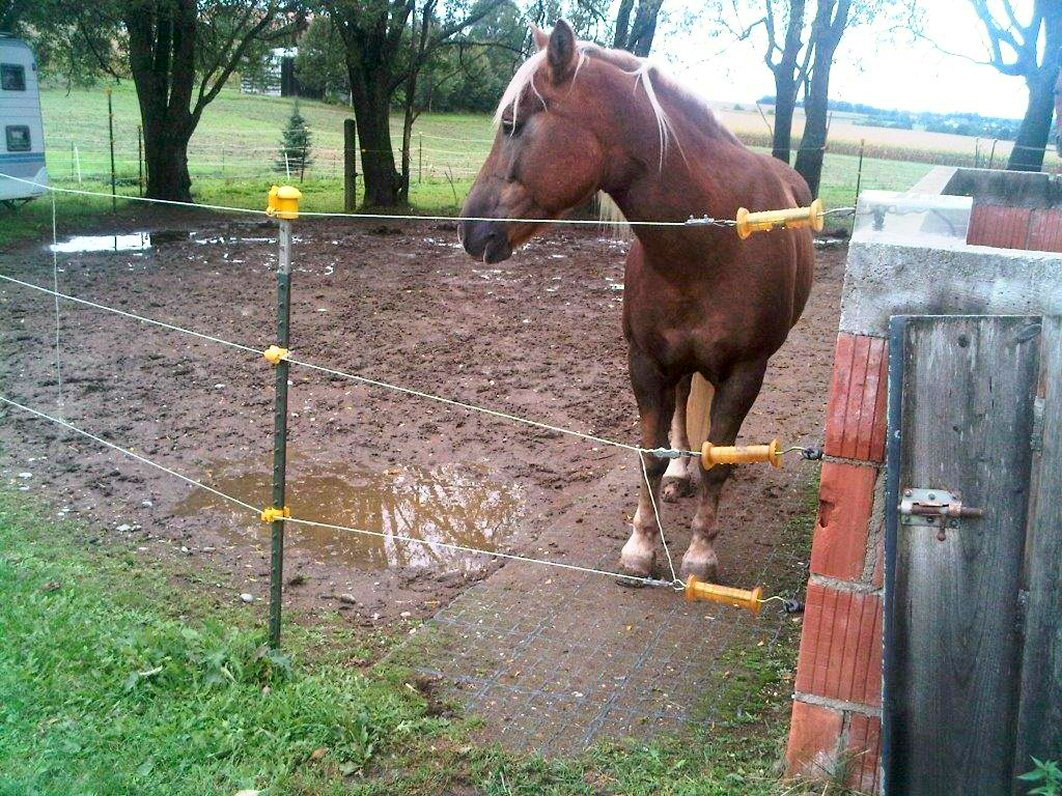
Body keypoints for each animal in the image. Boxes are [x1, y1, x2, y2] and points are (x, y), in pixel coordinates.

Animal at [458, 21, 814, 582]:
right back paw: (680, 474)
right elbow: (648, 454)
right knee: (685, 410)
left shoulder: (744, 371)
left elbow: (718, 461)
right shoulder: (647, 363)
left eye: (513, 124)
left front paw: (700, 555)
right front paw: (642, 546)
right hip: (680, 363)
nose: (469, 231)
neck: (709, 243)